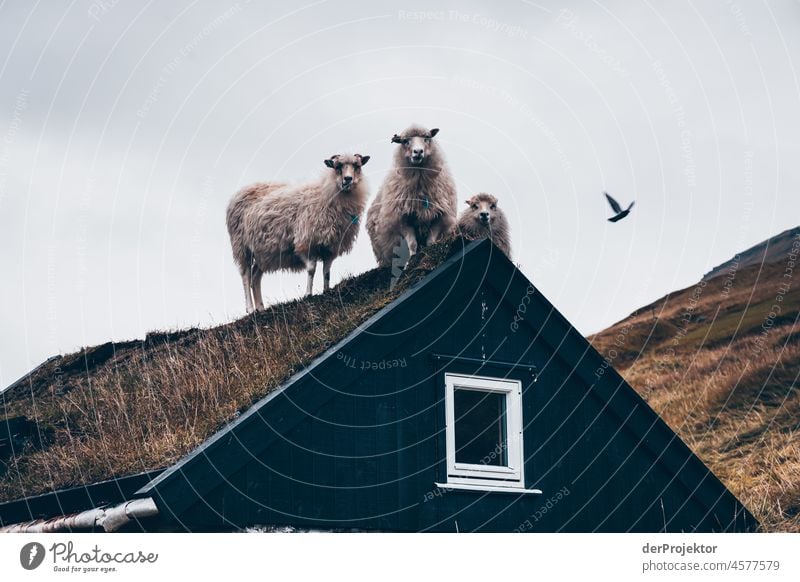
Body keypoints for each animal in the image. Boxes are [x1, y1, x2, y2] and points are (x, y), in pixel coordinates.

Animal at [227, 153, 370, 312]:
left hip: (262, 253)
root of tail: (238, 193)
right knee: (246, 276)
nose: (348, 179)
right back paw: (251, 309)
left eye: (357, 166)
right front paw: (308, 294)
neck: (326, 192)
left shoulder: (330, 247)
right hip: (242, 248)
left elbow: (326, 272)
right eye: (337, 166)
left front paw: (327, 290)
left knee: (255, 278)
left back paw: (261, 308)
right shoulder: (306, 243)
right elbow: (311, 269)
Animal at [364, 126, 454, 268]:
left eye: (426, 138)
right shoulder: (402, 219)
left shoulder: (439, 216)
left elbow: (430, 242)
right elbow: (412, 244)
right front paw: (412, 260)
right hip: (383, 251)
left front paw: (429, 253)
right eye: (405, 141)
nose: (418, 152)